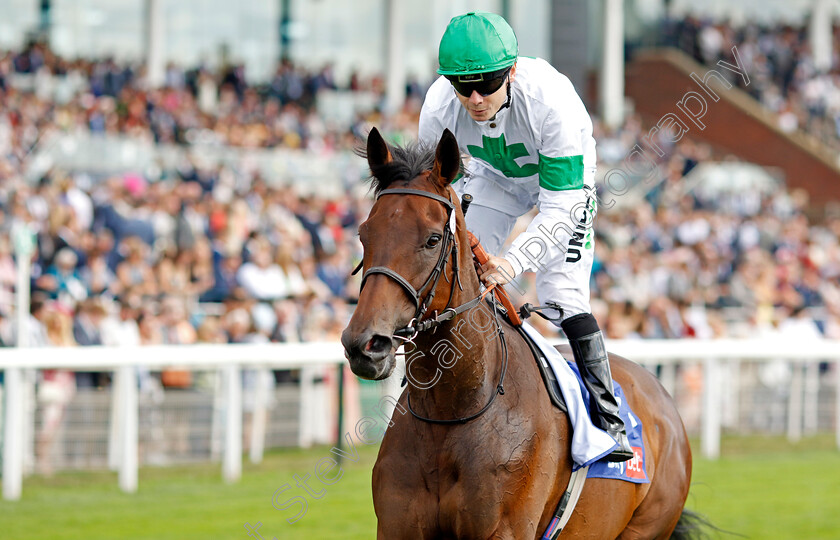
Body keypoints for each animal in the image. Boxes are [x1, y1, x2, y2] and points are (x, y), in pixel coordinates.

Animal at [342, 129, 696, 536]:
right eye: (364, 233)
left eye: (432, 239)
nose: (364, 343)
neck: (452, 410)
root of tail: (661, 396)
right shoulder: (395, 528)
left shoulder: (504, 529)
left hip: (649, 525)